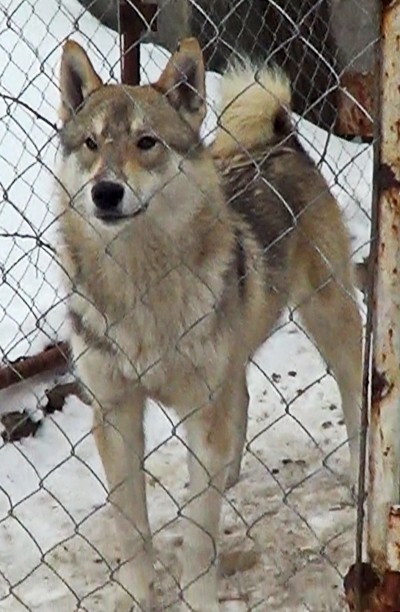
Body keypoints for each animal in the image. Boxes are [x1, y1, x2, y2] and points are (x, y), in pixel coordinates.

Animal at [56, 37, 363, 611]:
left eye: (147, 142)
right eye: (90, 143)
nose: (105, 192)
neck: (141, 288)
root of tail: (282, 139)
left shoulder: (201, 415)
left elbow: (199, 535)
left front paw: (199, 597)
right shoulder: (115, 413)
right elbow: (132, 530)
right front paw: (137, 597)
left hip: (330, 318)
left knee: (356, 398)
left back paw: (359, 480)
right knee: (239, 393)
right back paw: (232, 473)